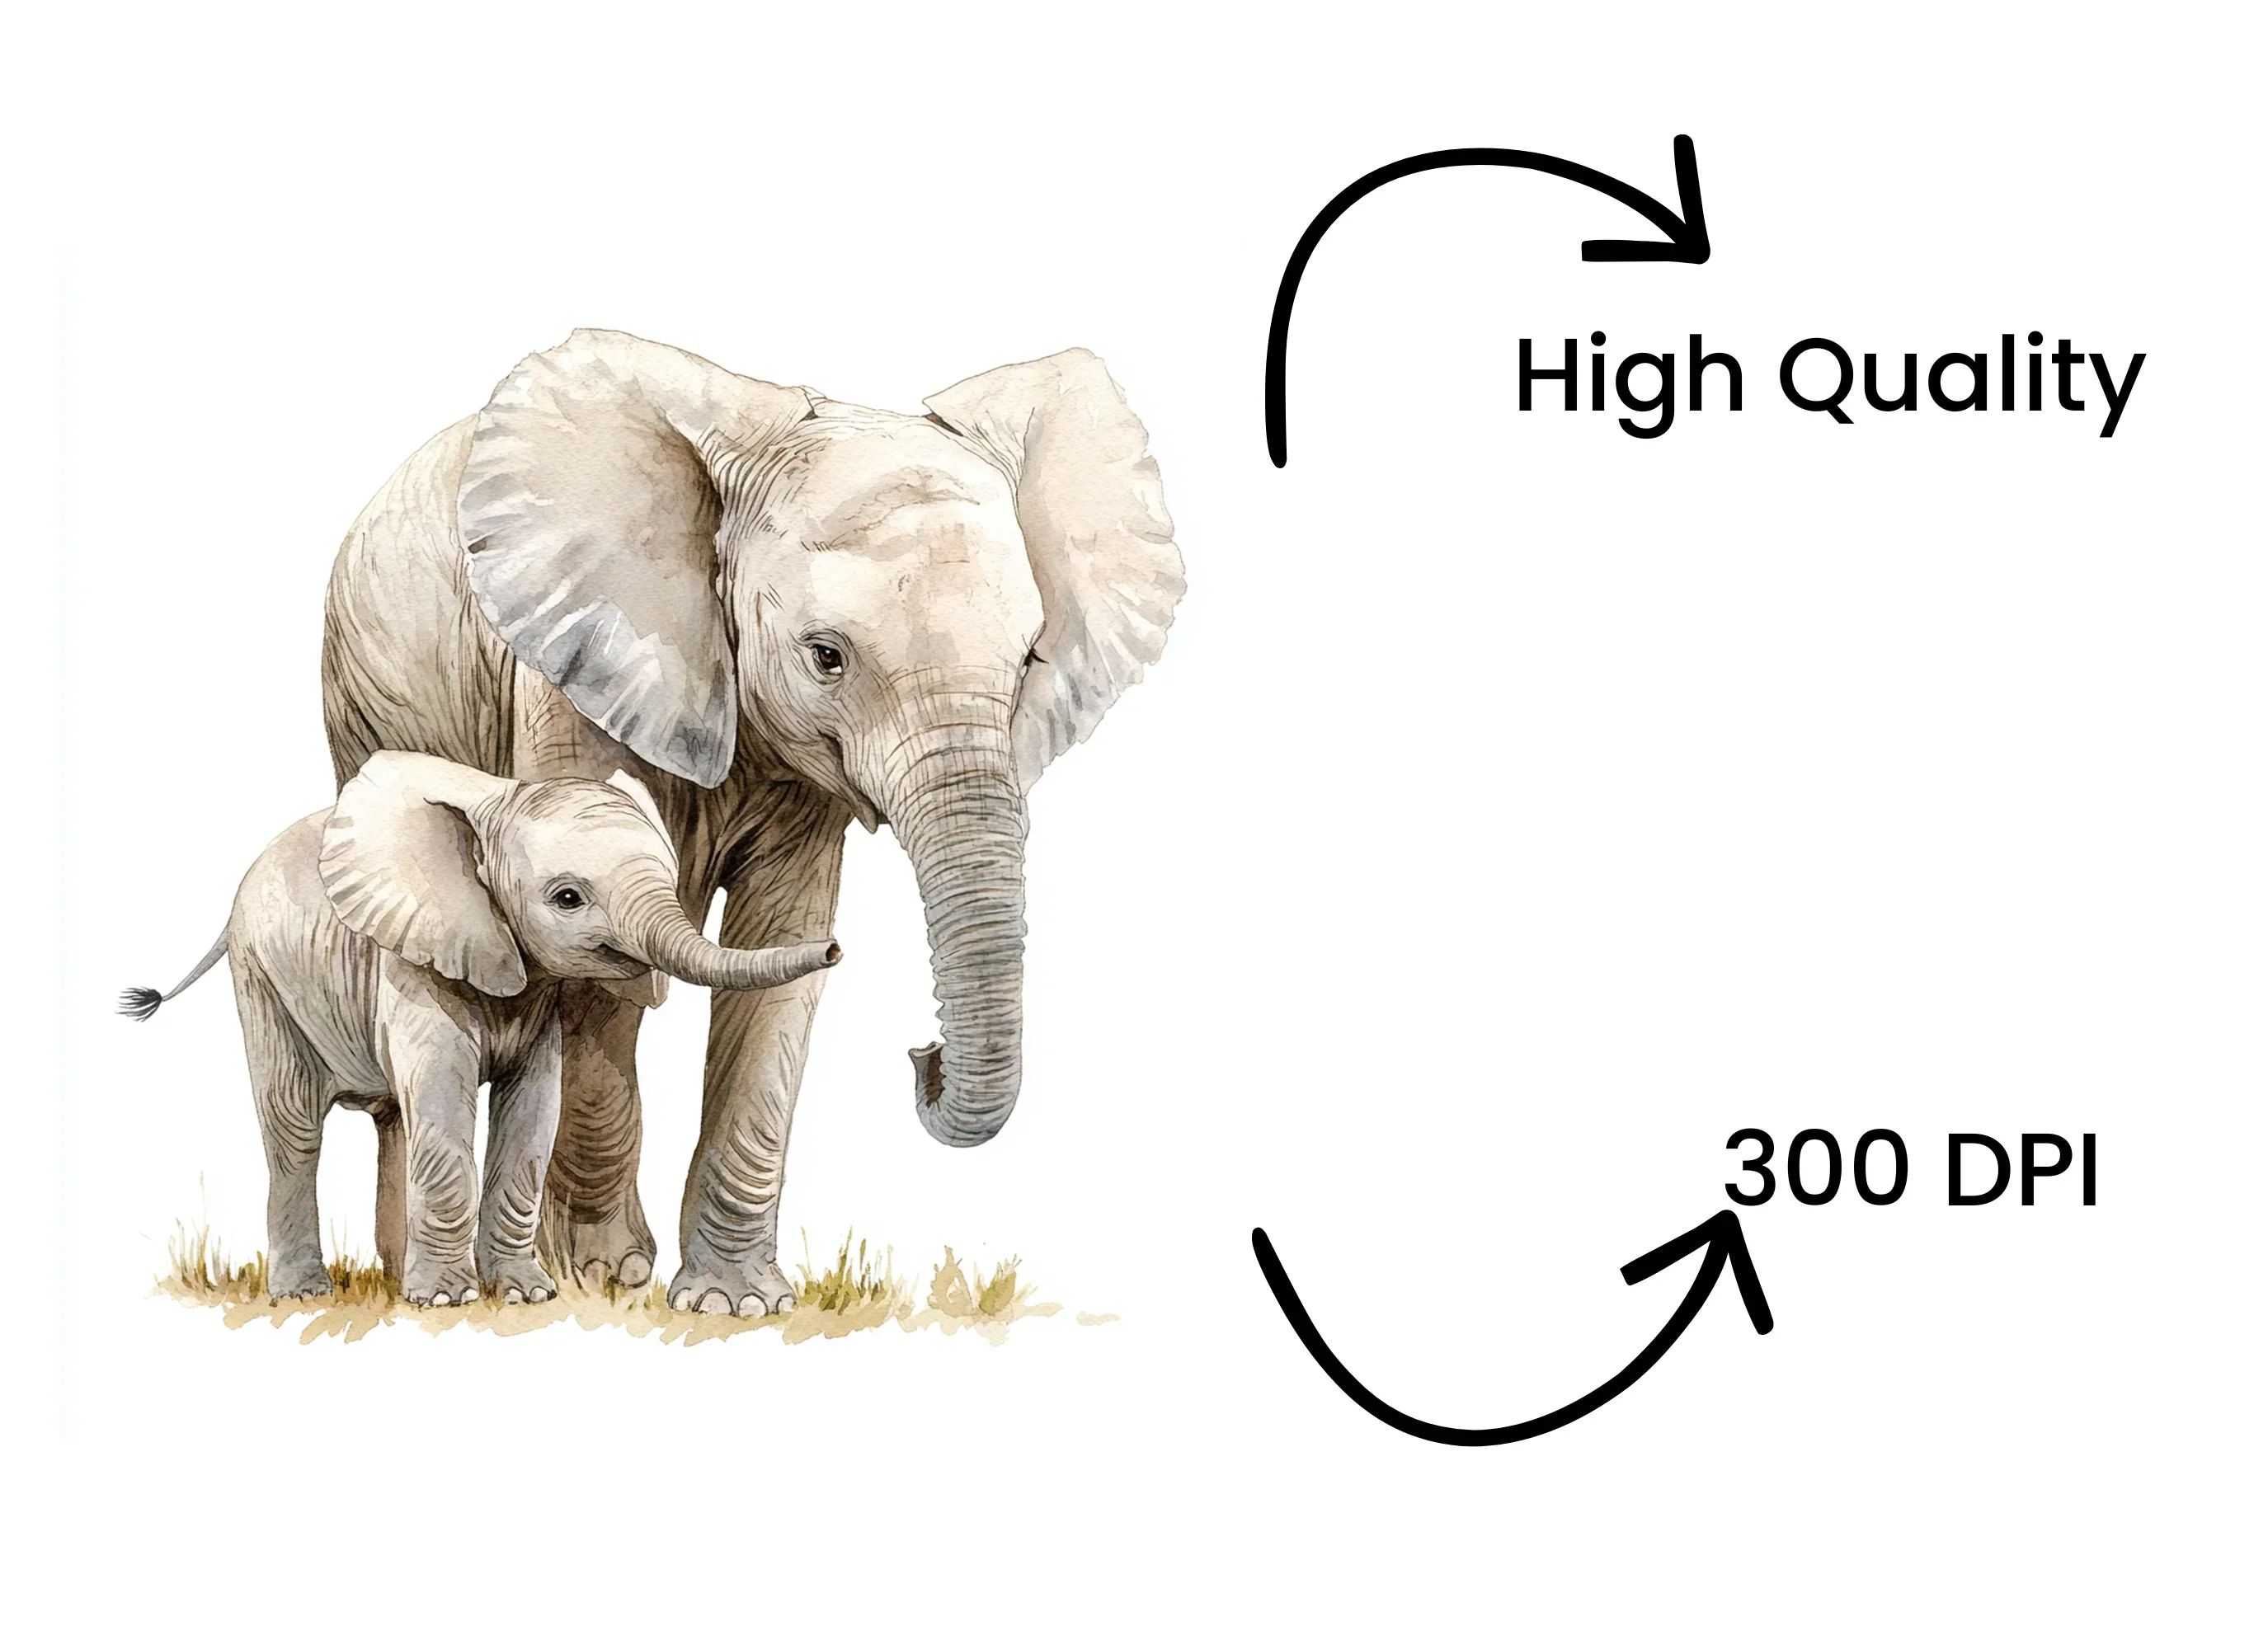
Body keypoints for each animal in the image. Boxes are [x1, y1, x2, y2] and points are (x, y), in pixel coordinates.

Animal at [120, 751, 840, 1306]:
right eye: (568, 898)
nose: (835, 949)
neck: (496, 807)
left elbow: (533, 1111)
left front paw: (524, 1294)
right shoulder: (413, 964)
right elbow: (446, 1099)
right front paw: (447, 1301)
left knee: (395, 1121)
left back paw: (394, 1277)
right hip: (264, 980)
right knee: (294, 1125)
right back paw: (306, 1294)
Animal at [319, 330, 1184, 1315]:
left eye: (1030, 658)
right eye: (826, 656)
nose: (922, 1054)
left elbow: (778, 949)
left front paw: (734, 1304)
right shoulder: (564, 676)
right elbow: (594, 974)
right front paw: (601, 1275)